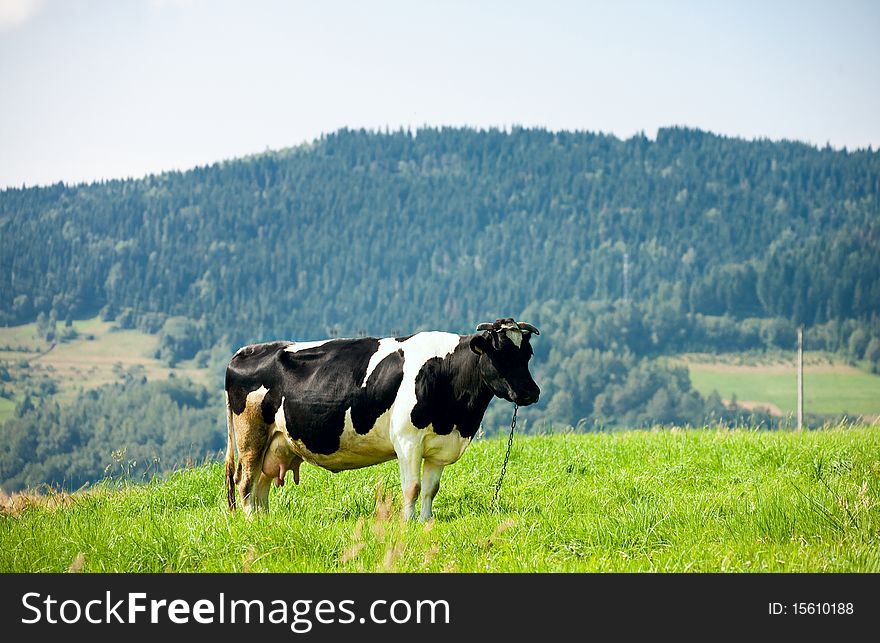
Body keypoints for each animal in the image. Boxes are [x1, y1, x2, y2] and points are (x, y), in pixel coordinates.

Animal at [223, 320, 540, 520]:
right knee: (245, 482)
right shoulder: (407, 440)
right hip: (251, 436)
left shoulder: (439, 446)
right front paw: (408, 522)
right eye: (498, 354)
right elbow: (412, 487)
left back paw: (266, 522)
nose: (530, 392)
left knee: (262, 484)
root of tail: (244, 352)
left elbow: (431, 489)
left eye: (527, 354)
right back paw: (252, 522)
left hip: (276, 443)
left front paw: (426, 521)